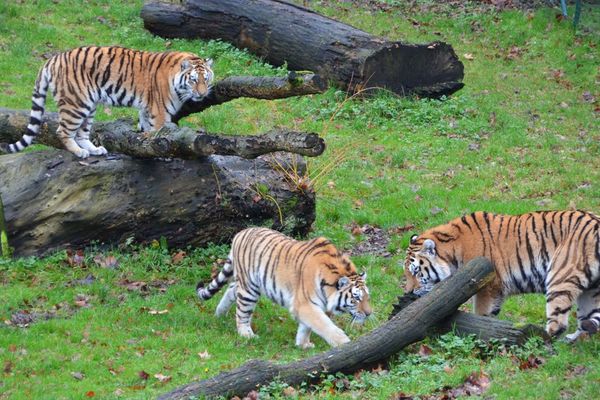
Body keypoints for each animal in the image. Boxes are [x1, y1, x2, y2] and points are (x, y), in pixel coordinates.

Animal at [0, 46, 213, 159]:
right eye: (193, 80)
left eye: (206, 79)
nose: (202, 94)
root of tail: (52, 59)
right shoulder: (159, 112)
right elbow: (160, 133)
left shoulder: (146, 109)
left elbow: (147, 132)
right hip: (76, 104)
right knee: (63, 131)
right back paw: (79, 152)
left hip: (89, 105)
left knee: (82, 133)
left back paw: (95, 150)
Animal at [197, 227, 372, 348]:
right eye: (356, 298)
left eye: (367, 297)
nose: (369, 314)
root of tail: (240, 233)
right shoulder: (305, 304)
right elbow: (324, 324)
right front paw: (345, 343)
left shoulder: (307, 306)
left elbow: (307, 327)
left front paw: (303, 344)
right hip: (249, 289)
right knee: (242, 312)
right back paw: (246, 334)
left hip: (246, 283)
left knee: (231, 290)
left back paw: (219, 314)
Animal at [404, 209, 600, 340]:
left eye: (416, 271)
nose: (408, 292)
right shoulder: (497, 290)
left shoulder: (487, 286)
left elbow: (481, 313)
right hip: (591, 291)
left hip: (559, 278)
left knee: (558, 323)